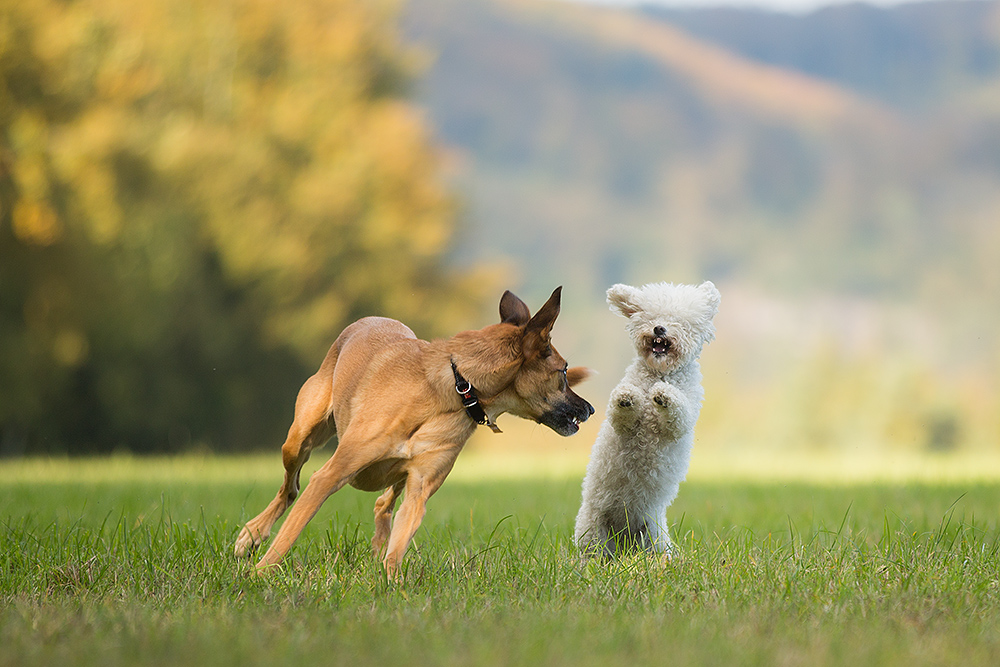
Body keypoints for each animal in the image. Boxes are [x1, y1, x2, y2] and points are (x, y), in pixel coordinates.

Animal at [234, 286, 592, 576]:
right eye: (562, 371)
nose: (588, 409)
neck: (459, 389)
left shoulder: (420, 486)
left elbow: (399, 545)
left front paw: (390, 583)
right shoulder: (330, 475)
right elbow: (291, 531)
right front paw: (260, 574)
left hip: (394, 474)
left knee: (382, 504)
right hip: (300, 438)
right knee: (290, 488)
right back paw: (251, 535)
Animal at [580, 282, 720, 560]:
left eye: (679, 321)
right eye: (650, 317)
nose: (659, 328)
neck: (659, 372)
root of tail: (622, 537)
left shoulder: (681, 418)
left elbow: (677, 410)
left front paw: (663, 394)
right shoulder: (622, 423)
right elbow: (621, 410)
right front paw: (627, 396)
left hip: (653, 537)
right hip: (591, 530)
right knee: (590, 554)